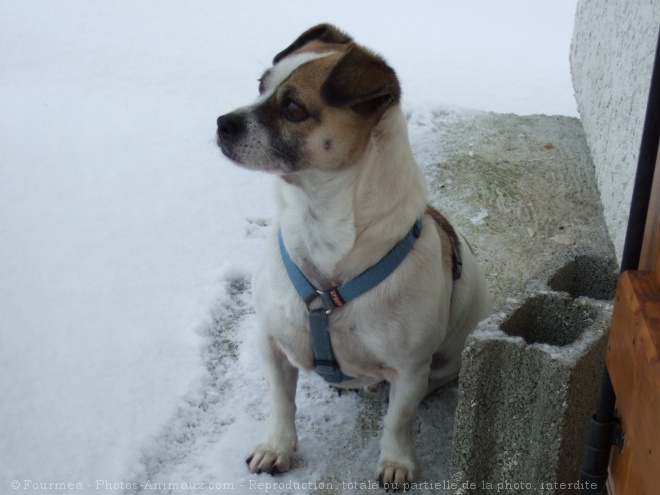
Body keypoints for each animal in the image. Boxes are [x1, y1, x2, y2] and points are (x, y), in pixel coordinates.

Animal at [215, 24, 490, 488]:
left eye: (293, 108)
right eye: (261, 86)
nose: (221, 122)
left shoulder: (410, 368)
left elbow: (399, 419)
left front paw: (397, 460)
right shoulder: (271, 342)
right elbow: (281, 401)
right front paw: (276, 446)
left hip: (447, 356)